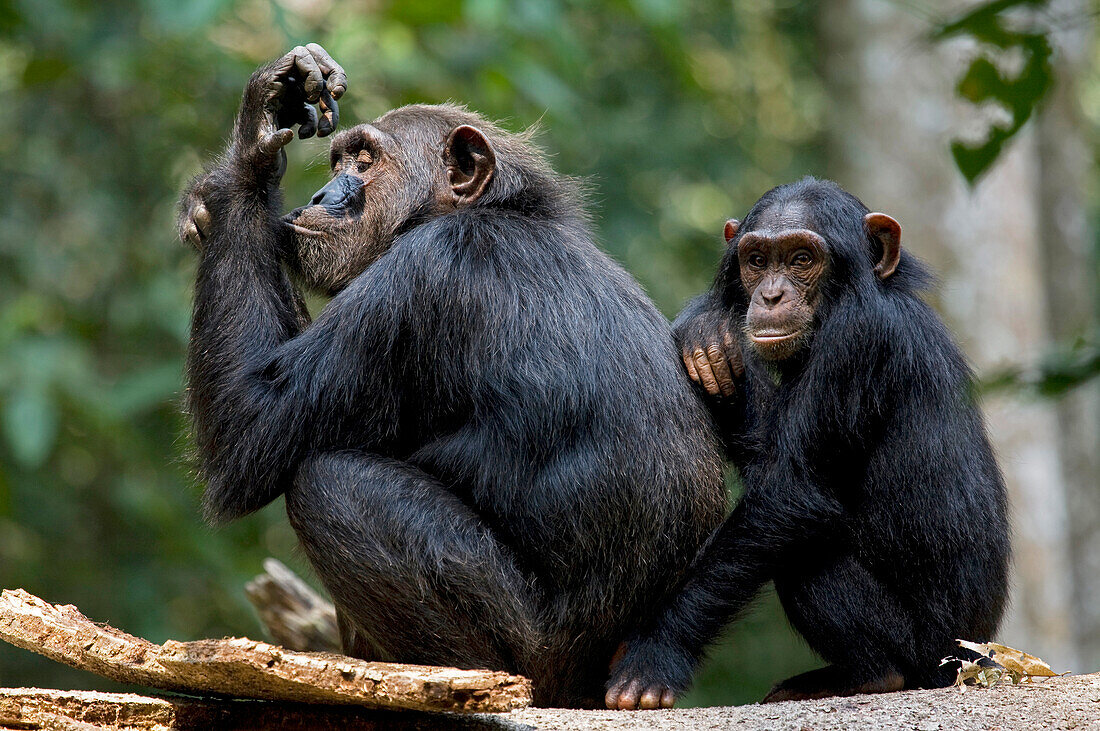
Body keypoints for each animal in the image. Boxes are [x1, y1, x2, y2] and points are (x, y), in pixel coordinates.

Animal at [178, 45, 730, 707]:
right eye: (339, 158)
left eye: (365, 160)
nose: (320, 192)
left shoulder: (418, 279)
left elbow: (251, 429)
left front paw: (248, 155)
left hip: (534, 656)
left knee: (332, 482)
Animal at [607, 175, 1007, 707]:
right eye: (757, 260)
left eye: (801, 259)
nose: (772, 295)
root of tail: (981, 659)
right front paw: (706, 331)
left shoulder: (856, 341)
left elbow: (790, 489)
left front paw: (653, 653)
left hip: (929, 652)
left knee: (805, 548)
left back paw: (866, 674)